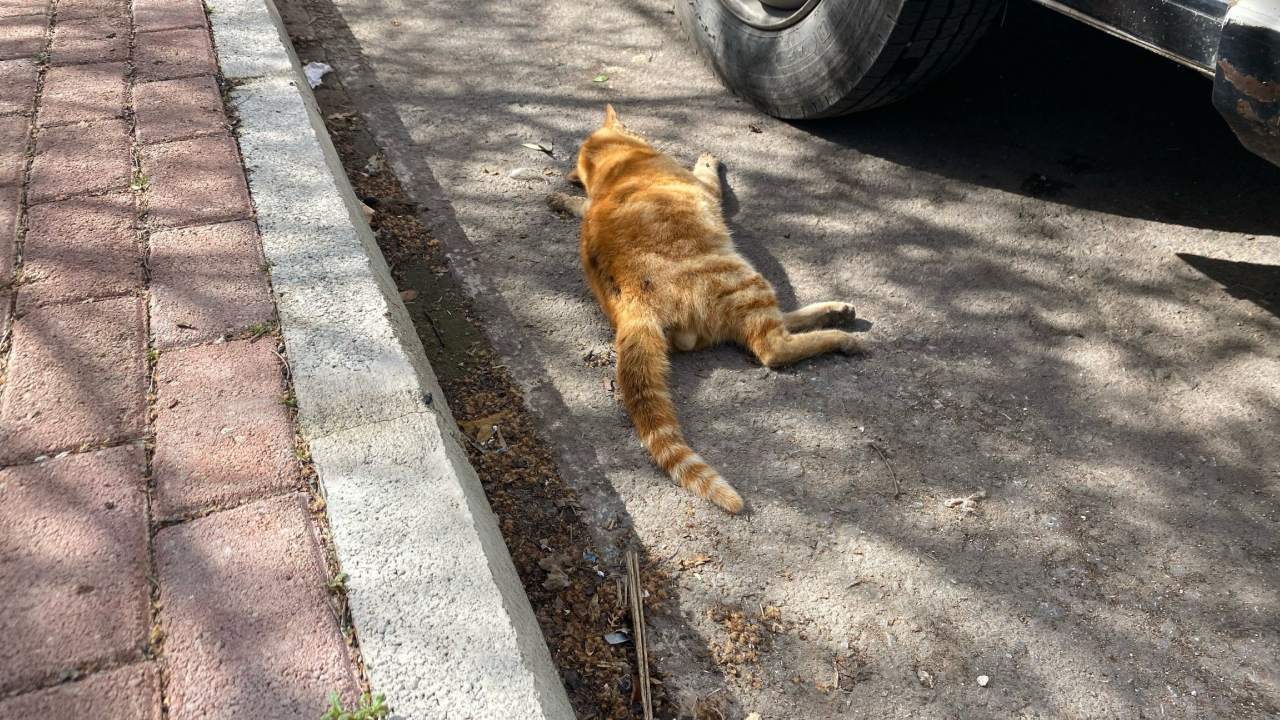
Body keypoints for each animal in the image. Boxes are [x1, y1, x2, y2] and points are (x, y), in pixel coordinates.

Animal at [545, 105, 865, 509]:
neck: (620, 166)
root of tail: (631, 305)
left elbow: (581, 204)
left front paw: (565, 200)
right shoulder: (703, 188)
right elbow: (708, 178)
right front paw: (707, 162)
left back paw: (835, 312)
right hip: (745, 279)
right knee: (772, 347)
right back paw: (840, 334)